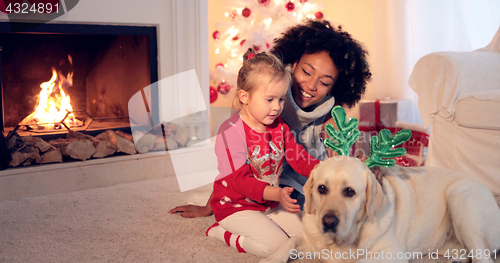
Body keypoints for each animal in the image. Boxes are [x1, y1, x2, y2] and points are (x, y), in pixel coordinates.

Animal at [262, 157, 500, 263]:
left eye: (350, 192)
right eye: (322, 188)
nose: (328, 222)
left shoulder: (392, 254)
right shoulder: (312, 242)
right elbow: (290, 241)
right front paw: (270, 259)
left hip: (460, 197)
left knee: (484, 257)